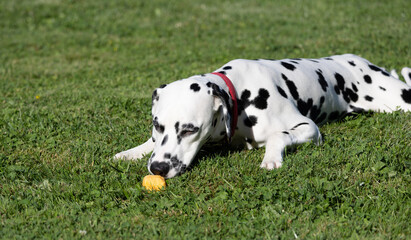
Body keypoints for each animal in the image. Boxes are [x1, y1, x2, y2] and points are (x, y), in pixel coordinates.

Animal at [113, 54, 411, 178]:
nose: (158, 169)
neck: (240, 95)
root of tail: (363, 62)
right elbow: (147, 145)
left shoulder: (309, 128)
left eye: (189, 129)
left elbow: (279, 135)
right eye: (157, 125)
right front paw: (130, 152)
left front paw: (271, 158)